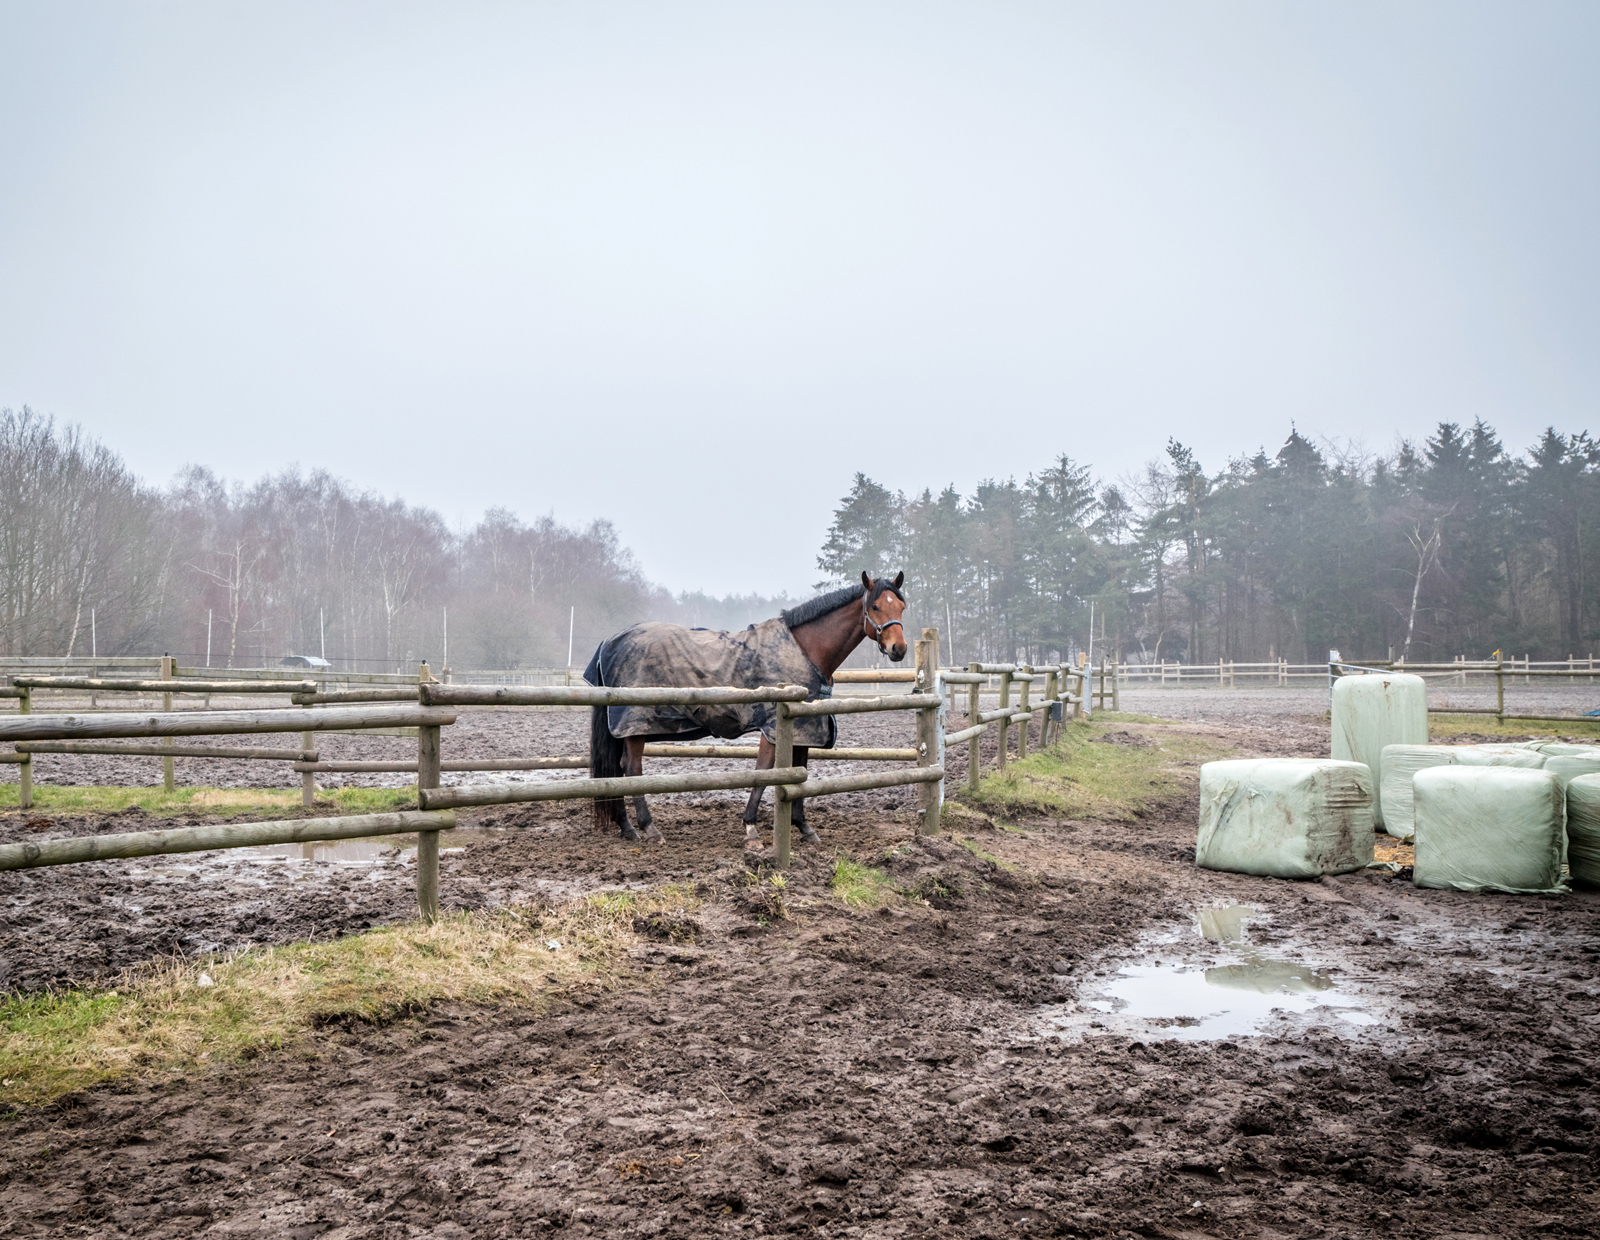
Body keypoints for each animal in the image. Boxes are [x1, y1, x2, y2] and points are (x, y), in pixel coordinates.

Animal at [586, 570, 908, 847]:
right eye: (875, 606)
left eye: (902, 606)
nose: (899, 649)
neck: (805, 649)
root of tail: (610, 641)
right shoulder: (772, 728)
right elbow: (764, 772)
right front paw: (751, 829)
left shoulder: (804, 729)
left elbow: (799, 772)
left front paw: (804, 828)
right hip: (635, 726)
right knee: (631, 769)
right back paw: (650, 828)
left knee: (617, 770)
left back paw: (627, 827)